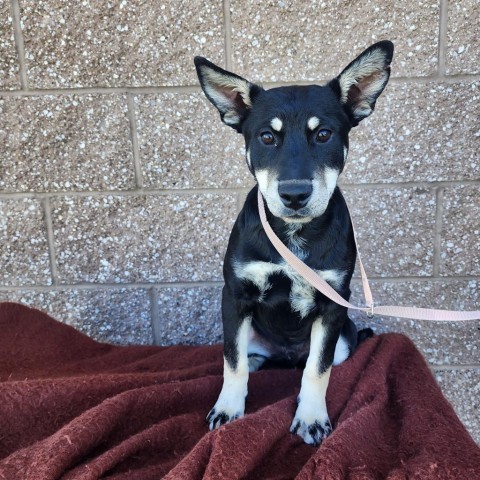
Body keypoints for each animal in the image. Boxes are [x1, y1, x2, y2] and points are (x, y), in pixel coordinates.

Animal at [194, 41, 394, 446]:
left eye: (324, 135)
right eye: (267, 138)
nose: (295, 195)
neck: (294, 232)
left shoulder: (333, 304)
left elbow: (318, 370)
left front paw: (312, 417)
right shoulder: (235, 295)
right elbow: (232, 361)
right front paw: (228, 408)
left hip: (345, 337)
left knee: (312, 363)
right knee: (247, 355)